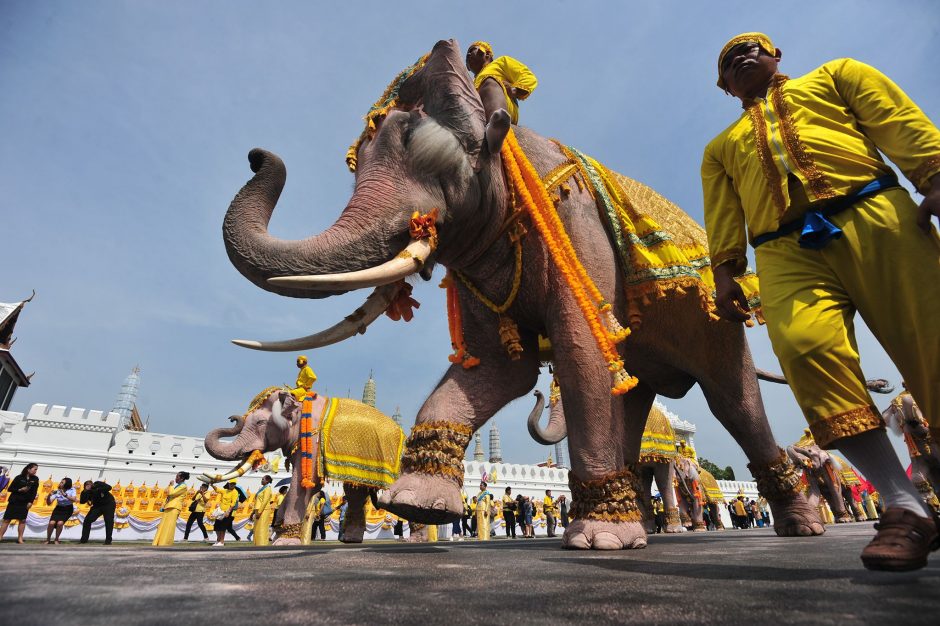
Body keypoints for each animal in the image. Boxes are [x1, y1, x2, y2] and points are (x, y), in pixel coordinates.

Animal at [220, 37, 824, 544]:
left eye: (431, 157)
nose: (256, 156)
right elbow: (496, 366)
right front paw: (416, 504)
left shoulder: (576, 228)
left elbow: (579, 346)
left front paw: (599, 540)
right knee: (635, 392)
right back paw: (642, 522)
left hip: (714, 312)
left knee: (731, 395)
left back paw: (797, 526)